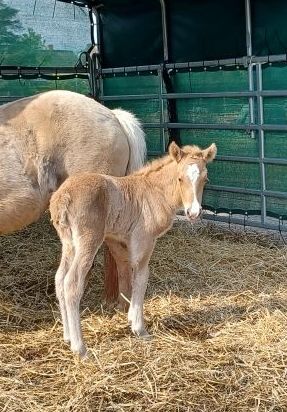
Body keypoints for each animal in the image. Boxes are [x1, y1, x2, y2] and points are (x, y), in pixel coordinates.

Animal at [50, 141, 217, 354]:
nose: (194, 213)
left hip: (69, 242)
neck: (156, 192)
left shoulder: (125, 241)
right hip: (88, 240)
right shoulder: (144, 239)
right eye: (180, 178)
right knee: (71, 282)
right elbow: (141, 276)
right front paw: (139, 328)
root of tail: (63, 197)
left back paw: (67, 336)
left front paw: (129, 317)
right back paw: (80, 347)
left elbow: (130, 273)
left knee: (59, 278)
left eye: (205, 179)